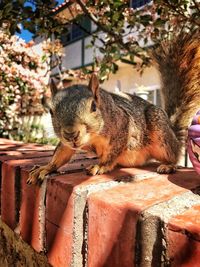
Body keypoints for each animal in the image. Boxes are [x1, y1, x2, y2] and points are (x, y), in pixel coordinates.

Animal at [27, 31, 200, 185]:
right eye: (51, 111)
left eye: (94, 106)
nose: (71, 134)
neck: (92, 137)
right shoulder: (66, 143)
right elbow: (61, 153)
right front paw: (45, 168)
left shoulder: (123, 124)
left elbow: (113, 151)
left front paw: (101, 165)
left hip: (160, 130)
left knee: (174, 153)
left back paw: (168, 165)